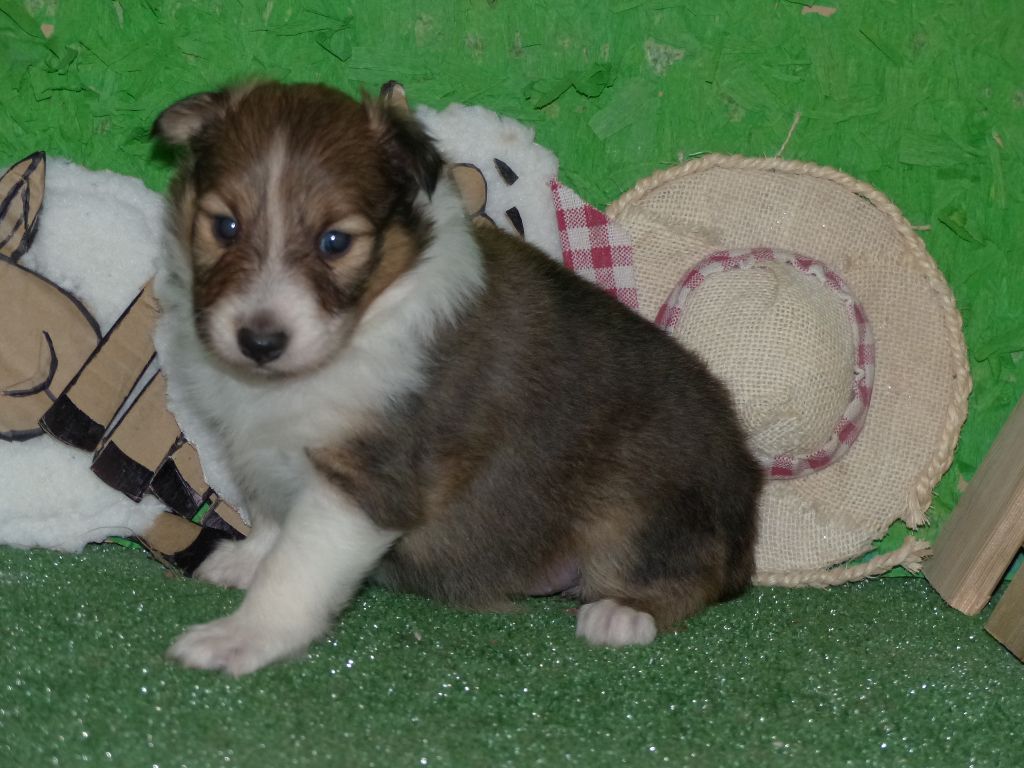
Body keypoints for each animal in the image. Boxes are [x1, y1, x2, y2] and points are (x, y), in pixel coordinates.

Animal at [149, 81, 761, 675]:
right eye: (224, 226)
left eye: (335, 242)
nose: (259, 343)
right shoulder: (270, 453)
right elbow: (273, 522)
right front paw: (245, 561)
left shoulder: (369, 483)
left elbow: (294, 569)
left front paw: (241, 637)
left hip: (642, 500)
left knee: (693, 577)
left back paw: (621, 613)